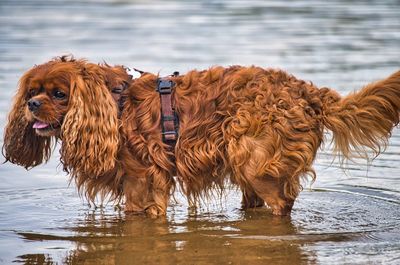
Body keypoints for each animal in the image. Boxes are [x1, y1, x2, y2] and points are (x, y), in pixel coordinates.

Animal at [3, 55, 400, 214]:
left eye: (59, 94)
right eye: (32, 92)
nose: (33, 105)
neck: (113, 104)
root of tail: (308, 91)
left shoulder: (142, 181)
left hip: (257, 164)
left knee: (282, 204)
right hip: (249, 169)